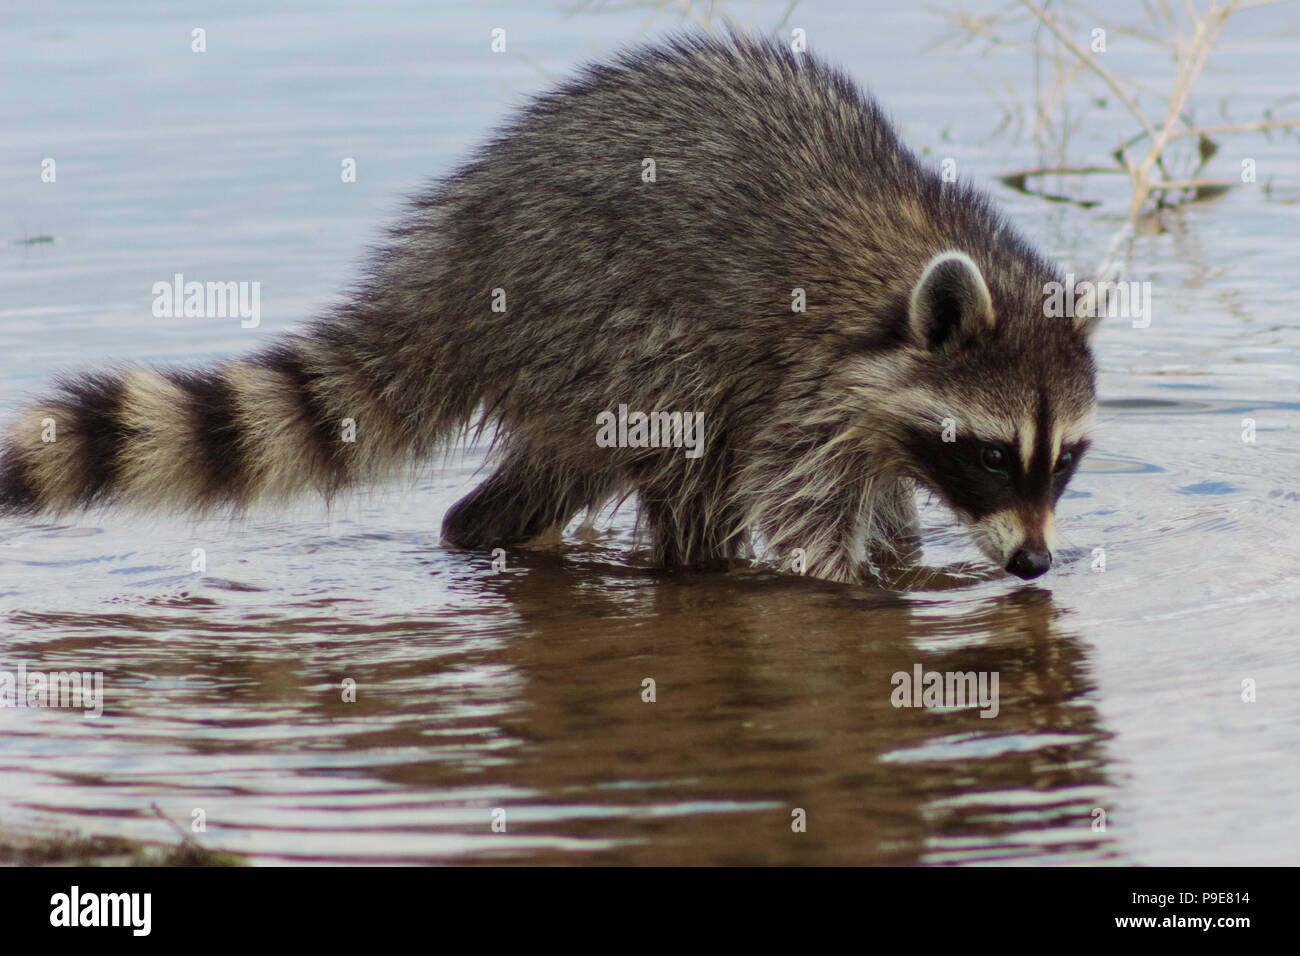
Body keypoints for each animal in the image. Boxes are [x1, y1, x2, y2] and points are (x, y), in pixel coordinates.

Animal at [0, 33, 1097, 582]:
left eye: (1063, 461)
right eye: (990, 454)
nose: (1035, 565)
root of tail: (459, 253)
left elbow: (879, 494)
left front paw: (904, 550)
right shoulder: (812, 374)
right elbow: (801, 501)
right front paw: (849, 578)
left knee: (550, 476)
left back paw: (492, 528)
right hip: (609, 322)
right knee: (691, 457)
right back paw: (694, 564)